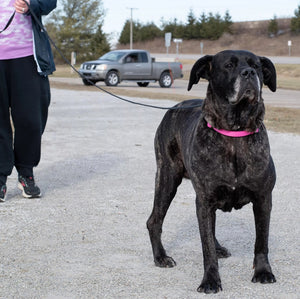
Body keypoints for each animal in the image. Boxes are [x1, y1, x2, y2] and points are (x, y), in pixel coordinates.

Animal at [146, 50, 276, 294]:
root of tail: (174, 108)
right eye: (228, 65)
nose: (249, 73)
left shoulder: (263, 199)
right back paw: (161, 257)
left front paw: (263, 272)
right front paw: (210, 280)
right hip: (167, 179)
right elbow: (206, 247)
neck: (234, 133)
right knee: (154, 220)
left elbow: (261, 241)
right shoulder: (205, 200)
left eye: (256, 65)